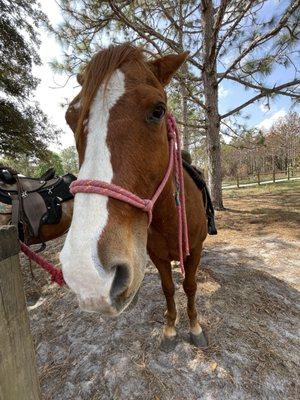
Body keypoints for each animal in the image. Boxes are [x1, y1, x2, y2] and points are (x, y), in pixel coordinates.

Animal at [59, 43, 211, 348]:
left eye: (158, 110)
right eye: (71, 117)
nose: (87, 273)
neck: (170, 216)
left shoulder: (195, 249)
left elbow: (189, 286)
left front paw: (195, 326)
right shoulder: (156, 256)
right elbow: (168, 287)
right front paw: (170, 328)